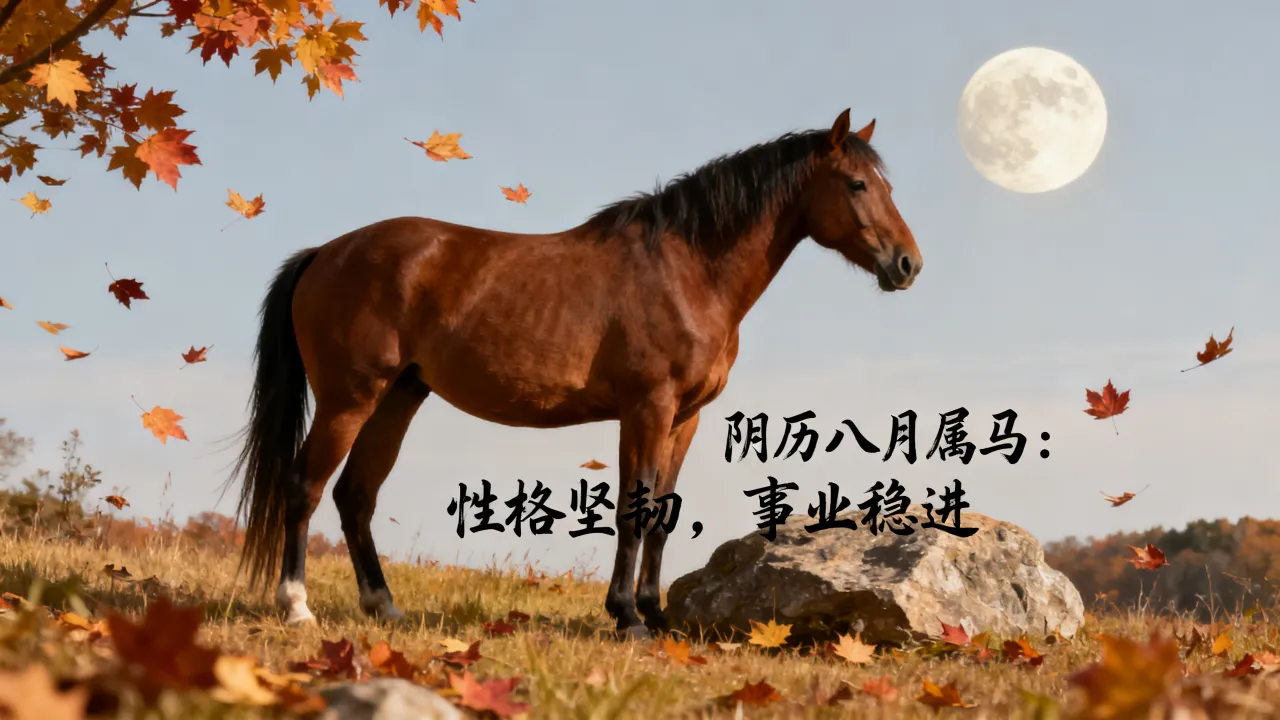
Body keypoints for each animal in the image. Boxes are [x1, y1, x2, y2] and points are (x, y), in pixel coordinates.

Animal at [228, 108, 923, 638]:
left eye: (888, 186)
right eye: (857, 185)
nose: (908, 264)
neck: (687, 269)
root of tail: (325, 252)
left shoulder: (687, 418)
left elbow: (662, 513)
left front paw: (656, 615)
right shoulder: (647, 409)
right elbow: (633, 509)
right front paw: (628, 618)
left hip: (399, 397)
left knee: (356, 495)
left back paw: (385, 607)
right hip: (349, 398)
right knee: (305, 487)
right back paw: (297, 608)